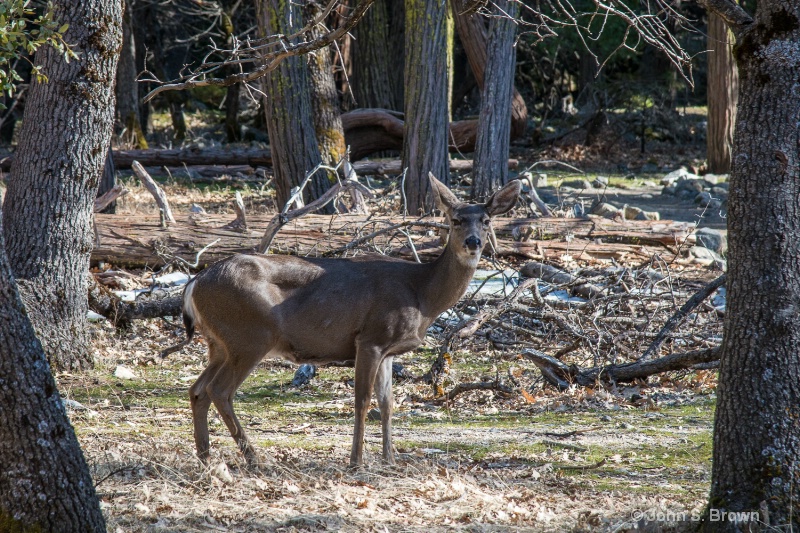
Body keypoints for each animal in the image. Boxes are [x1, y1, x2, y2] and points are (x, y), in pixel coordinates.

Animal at [163, 174, 524, 466]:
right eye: (456, 218)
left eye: (487, 220)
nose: (473, 242)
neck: (421, 294)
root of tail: (194, 283)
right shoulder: (370, 337)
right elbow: (362, 401)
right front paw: (356, 461)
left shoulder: (389, 349)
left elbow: (387, 403)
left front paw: (391, 460)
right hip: (249, 336)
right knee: (220, 390)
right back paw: (253, 459)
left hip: (219, 343)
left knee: (198, 389)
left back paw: (206, 457)